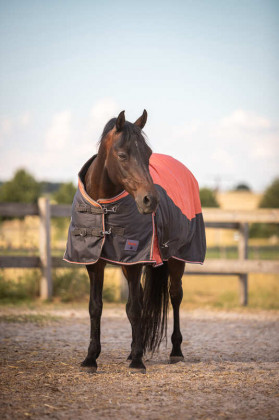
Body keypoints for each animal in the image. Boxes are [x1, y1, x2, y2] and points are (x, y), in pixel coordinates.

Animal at [64, 110, 207, 372]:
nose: (150, 200)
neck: (105, 205)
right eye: (122, 155)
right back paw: (132, 351)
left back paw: (175, 351)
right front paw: (91, 358)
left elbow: (134, 308)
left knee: (175, 296)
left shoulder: (134, 262)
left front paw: (139, 361)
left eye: (148, 154)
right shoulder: (95, 263)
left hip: (177, 259)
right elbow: (96, 307)